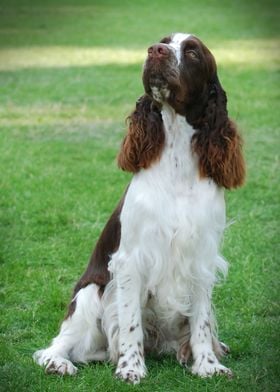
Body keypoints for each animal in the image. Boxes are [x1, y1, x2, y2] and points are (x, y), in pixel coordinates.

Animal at [33, 33, 245, 382]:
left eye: (192, 51)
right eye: (163, 41)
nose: (155, 51)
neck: (176, 162)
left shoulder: (200, 258)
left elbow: (200, 323)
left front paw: (208, 365)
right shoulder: (131, 260)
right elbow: (130, 322)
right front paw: (131, 368)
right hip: (90, 293)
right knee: (62, 343)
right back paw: (58, 362)